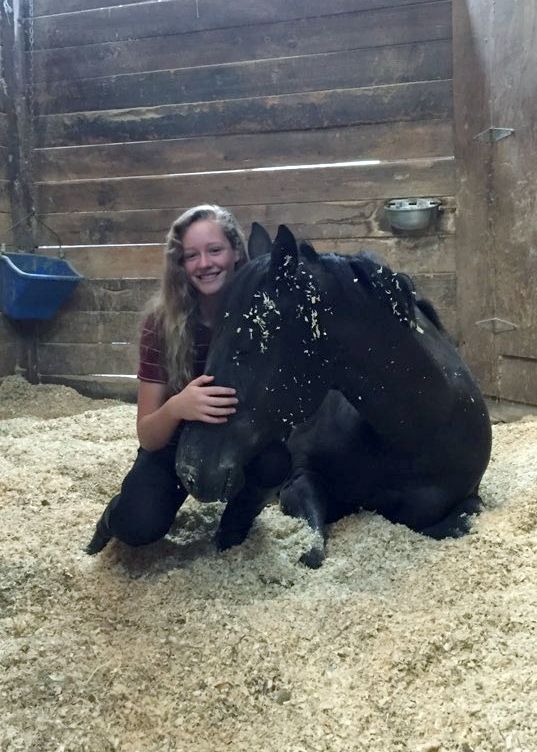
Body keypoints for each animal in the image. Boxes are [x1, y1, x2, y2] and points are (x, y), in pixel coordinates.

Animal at [176, 224, 492, 567]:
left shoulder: (468, 499)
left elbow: (460, 521)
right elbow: (312, 550)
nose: (190, 469)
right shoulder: (299, 479)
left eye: (246, 344)